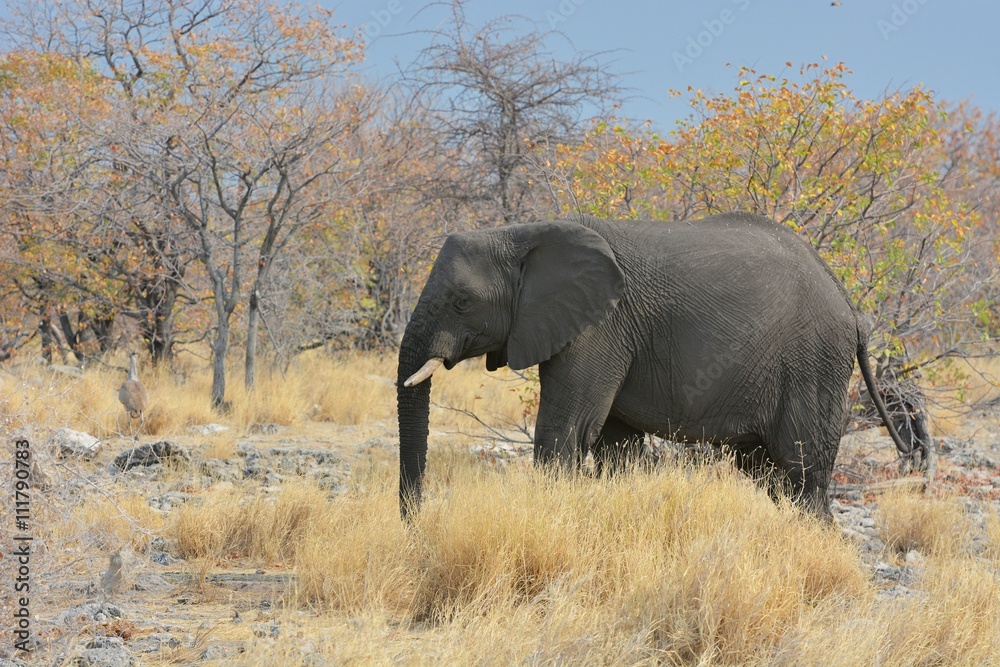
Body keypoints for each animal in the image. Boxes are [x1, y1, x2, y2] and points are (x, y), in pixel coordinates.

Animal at [396, 212, 926, 519]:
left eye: (462, 302)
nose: (416, 522)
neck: (522, 233)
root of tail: (849, 304)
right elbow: (615, 445)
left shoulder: (599, 327)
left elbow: (567, 430)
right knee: (767, 471)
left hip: (813, 362)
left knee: (801, 469)